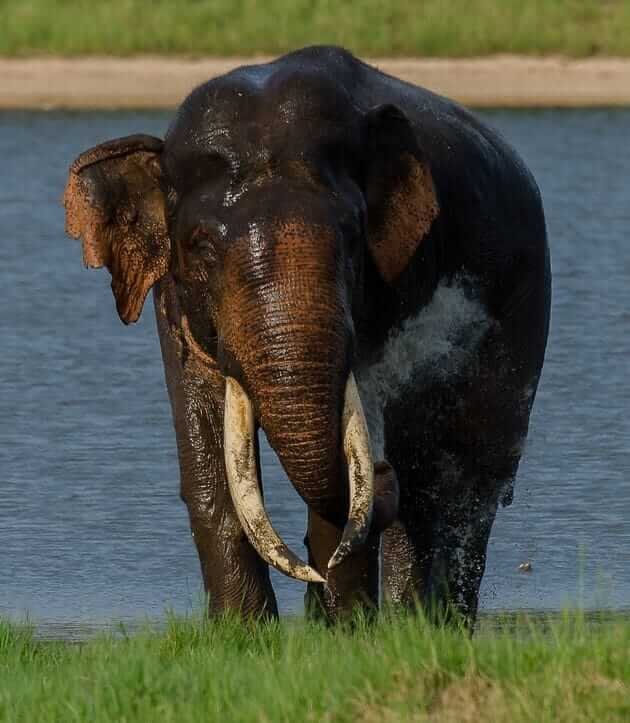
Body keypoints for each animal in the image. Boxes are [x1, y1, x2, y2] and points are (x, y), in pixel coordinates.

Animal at [63, 46, 550, 626]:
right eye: (201, 247)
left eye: (352, 235)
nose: (382, 472)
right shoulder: (173, 300)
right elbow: (205, 456)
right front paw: (245, 633)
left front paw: (347, 630)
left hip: (521, 311)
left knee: (465, 483)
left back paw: (430, 623)